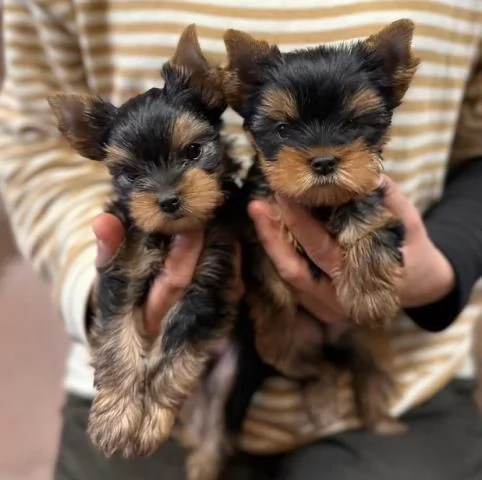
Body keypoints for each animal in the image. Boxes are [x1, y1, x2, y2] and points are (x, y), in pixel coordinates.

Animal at [49, 25, 241, 458]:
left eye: (193, 151)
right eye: (132, 175)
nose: (168, 200)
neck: (170, 237)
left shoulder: (209, 281)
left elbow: (177, 353)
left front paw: (151, 420)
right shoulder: (122, 269)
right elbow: (117, 339)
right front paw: (117, 419)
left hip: (229, 366)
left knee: (217, 404)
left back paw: (204, 456)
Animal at [222, 18, 418, 432]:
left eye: (354, 124)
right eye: (282, 129)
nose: (325, 161)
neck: (318, 204)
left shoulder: (377, 201)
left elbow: (367, 224)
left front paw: (370, 297)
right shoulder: (257, 223)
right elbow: (269, 282)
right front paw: (274, 328)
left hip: (366, 339)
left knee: (368, 370)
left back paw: (381, 421)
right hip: (300, 347)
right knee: (314, 367)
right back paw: (320, 394)